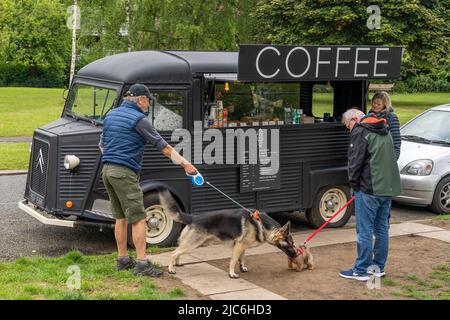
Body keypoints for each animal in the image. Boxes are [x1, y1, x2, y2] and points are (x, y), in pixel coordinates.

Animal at [158, 190, 298, 278]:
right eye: (289, 244)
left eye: (293, 243)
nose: (296, 254)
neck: (262, 224)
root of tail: (193, 217)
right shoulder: (239, 246)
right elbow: (233, 260)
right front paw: (232, 274)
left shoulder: (242, 246)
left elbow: (242, 258)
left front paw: (242, 267)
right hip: (193, 244)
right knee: (173, 253)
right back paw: (171, 269)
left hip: (190, 243)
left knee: (178, 252)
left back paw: (177, 264)